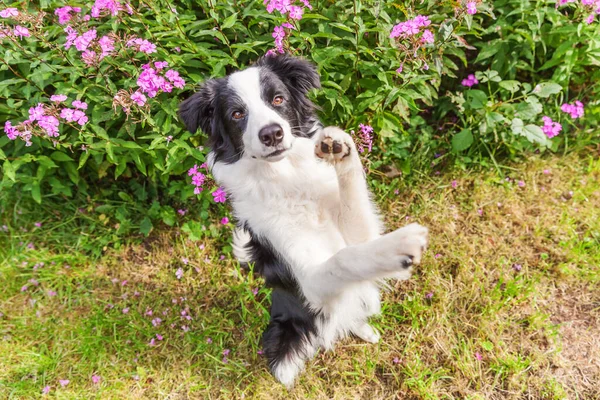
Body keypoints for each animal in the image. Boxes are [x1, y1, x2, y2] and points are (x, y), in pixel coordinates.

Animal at [180, 54, 428, 388]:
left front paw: (340, 146)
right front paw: (402, 244)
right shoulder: (310, 284)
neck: (287, 182)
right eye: (237, 114)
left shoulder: (359, 230)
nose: (272, 133)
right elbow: (343, 258)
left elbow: (355, 216)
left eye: (278, 99)